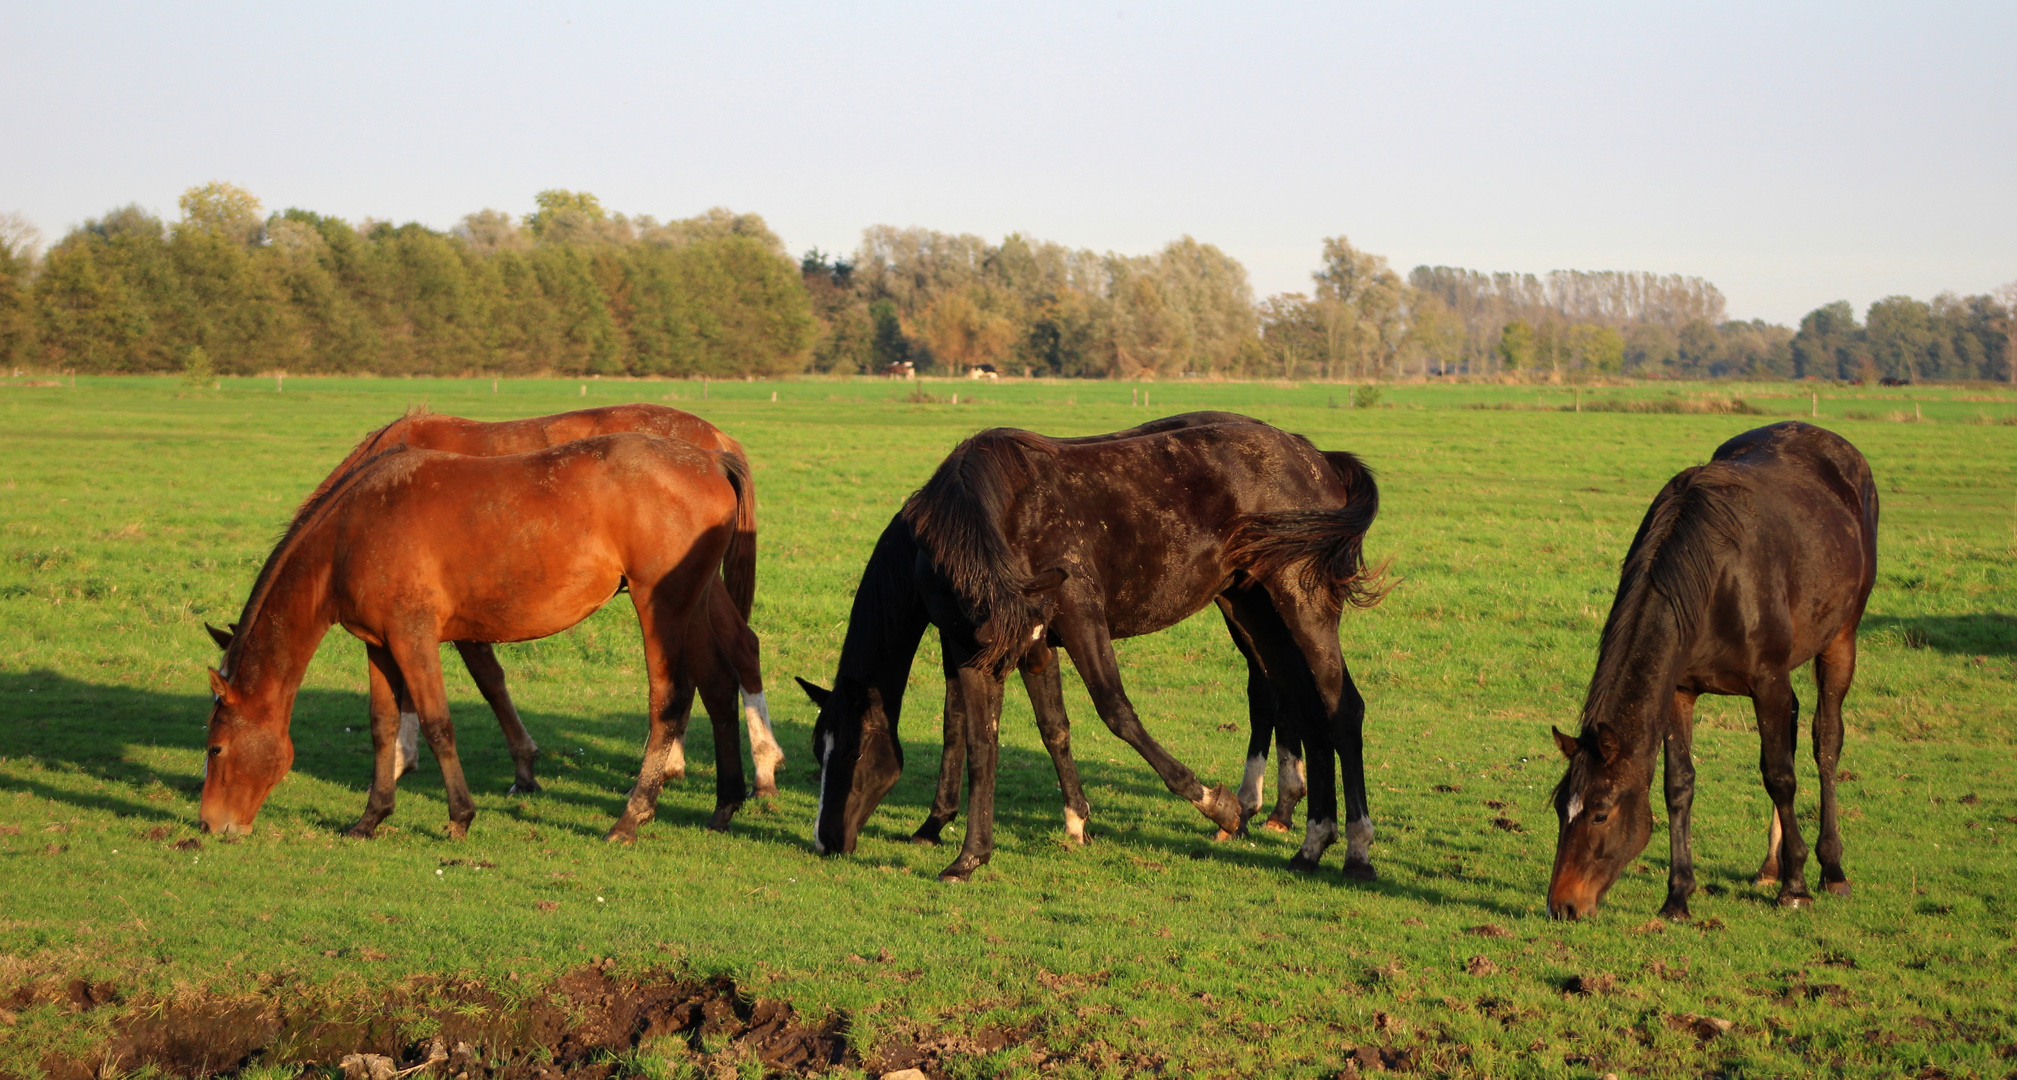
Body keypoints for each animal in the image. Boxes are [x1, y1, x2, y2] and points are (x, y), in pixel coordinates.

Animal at [794, 417, 1379, 884]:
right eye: (817, 751)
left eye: (851, 752)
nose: (826, 841)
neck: (996, 513)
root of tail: (1315, 457)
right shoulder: (998, 646)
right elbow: (1003, 738)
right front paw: (978, 852)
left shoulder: (1076, 620)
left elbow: (1116, 712)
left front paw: (1219, 807)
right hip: (1254, 610)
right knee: (1302, 708)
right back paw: (1309, 844)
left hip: (1300, 605)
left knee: (1340, 709)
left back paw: (1353, 851)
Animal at [1549, 421, 1879, 920]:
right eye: (1558, 809)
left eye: (1600, 812)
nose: (1562, 905)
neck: (1715, 578)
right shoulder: (1680, 690)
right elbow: (1678, 785)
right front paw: (1678, 896)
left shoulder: (1768, 683)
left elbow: (1780, 776)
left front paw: (1797, 887)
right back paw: (1770, 866)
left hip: (1840, 640)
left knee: (1826, 743)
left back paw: (1831, 869)